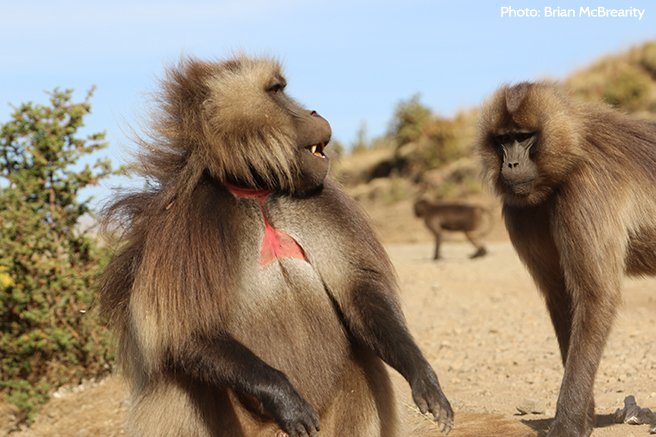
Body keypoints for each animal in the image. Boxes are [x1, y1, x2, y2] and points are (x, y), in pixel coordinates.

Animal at [101, 54, 452, 436]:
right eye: (276, 91)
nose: (313, 112)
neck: (256, 193)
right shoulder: (185, 225)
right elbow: (184, 333)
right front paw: (284, 397)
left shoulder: (321, 201)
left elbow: (359, 293)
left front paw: (424, 378)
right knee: (175, 378)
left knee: (364, 365)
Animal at [476, 80, 656, 434]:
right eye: (503, 139)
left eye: (523, 137)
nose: (511, 165)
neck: (569, 156)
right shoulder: (522, 211)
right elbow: (562, 296)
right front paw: (584, 418)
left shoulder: (586, 188)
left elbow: (595, 295)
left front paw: (567, 423)